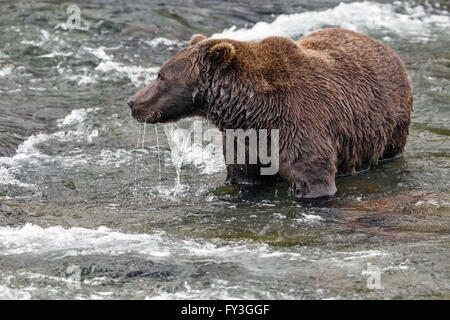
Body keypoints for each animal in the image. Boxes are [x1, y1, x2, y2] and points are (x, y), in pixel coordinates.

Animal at [128, 28, 414, 198]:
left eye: (161, 75)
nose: (132, 102)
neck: (253, 110)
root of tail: (385, 47)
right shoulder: (244, 140)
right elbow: (244, 175)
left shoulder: (301, 124)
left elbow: (313, 177)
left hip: (390, 124)